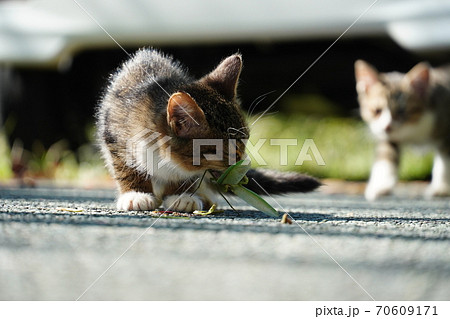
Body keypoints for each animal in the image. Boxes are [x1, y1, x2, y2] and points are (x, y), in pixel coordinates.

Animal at [97, 48, 320, 212]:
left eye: (245, 140)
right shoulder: (113, 132)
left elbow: (189, 176)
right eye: (224, 150)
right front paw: (135, 194)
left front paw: (182, 194)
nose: (242, 163)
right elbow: (125, 167)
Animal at [356, 59, 450, 200]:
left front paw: (442, 188)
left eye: (401, 112)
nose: (387, 126)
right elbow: (386, 157)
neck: (414, 128)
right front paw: (380, 186)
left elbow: (445, 162)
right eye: (377, 111)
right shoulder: (388, 137)